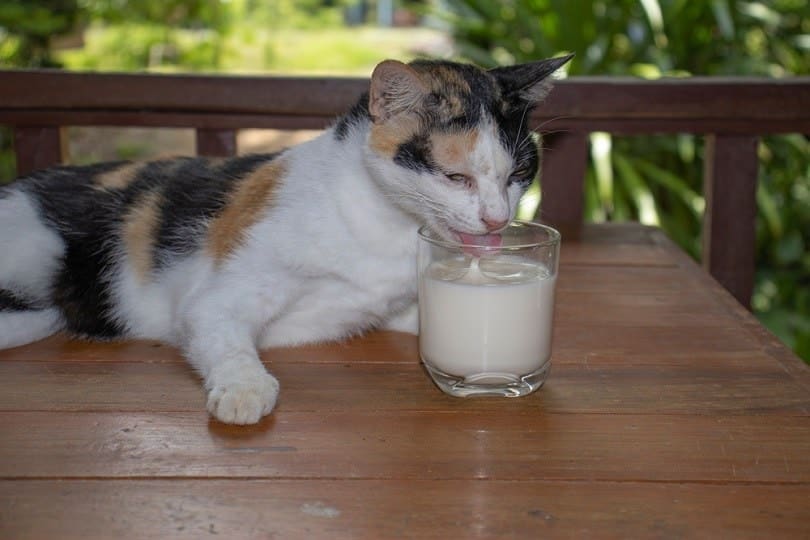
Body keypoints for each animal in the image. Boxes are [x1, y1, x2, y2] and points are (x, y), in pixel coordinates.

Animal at [0, 56, 572, 426]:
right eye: (456, 177)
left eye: (520, 173)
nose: (498, 220)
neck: (378, 223)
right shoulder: (216, 297)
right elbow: (223, 334)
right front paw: (244, 388)